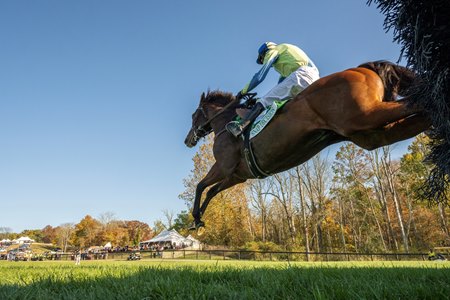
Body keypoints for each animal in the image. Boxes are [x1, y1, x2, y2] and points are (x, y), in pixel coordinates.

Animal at [185, 61, 430, 230]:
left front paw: (196, 217)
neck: (225, 123)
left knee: (418, 103)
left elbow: (201, 186)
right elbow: (211, 191)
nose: (188, 140)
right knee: (420, 114)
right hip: (370, 134)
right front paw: (198, 220)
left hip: (365, 115)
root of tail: (362, 68)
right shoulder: (238, 175)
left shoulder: (224, 167)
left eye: (194, 115)